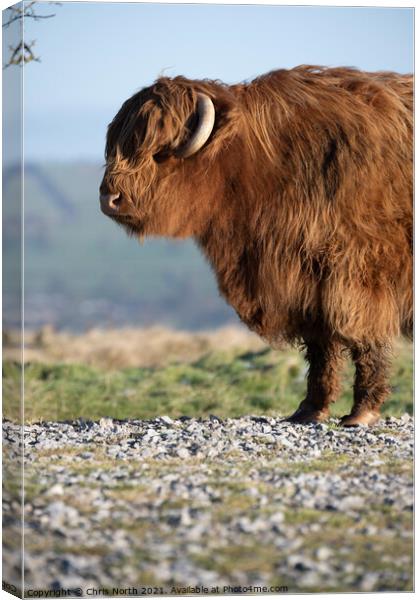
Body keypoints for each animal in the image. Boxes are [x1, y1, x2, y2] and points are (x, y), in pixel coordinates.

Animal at [100, 65, 412, 426]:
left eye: (159, 151)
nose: (109, 198)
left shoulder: (358, 275)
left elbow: (365, 340)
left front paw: (362, 410)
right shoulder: (304, 283)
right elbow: (321, 348)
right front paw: (310, 408)